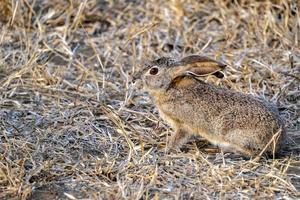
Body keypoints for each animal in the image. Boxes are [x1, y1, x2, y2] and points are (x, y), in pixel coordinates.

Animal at [133, 55, 286, 158]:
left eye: (153, 71)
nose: (136, 77)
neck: (169, 86)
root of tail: (277, 139)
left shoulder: (183, 125)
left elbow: (177, 138)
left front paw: (165, 149)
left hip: (233, 133)